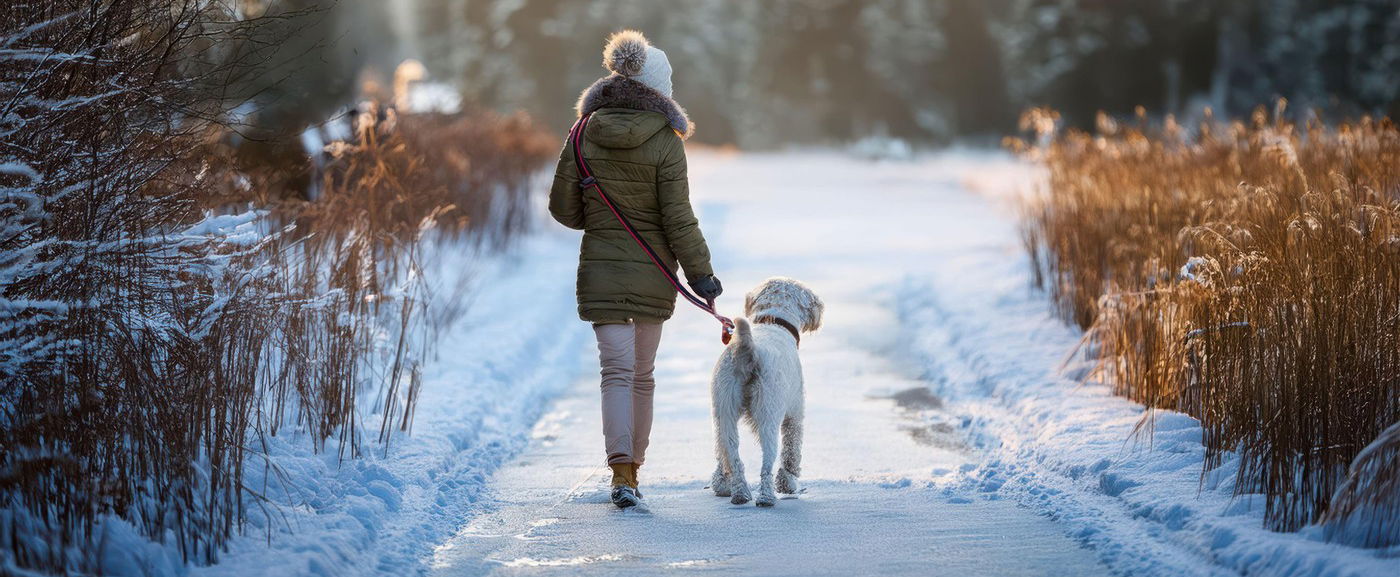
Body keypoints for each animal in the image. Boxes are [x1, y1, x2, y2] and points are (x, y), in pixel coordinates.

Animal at [711, 277, 817, 506]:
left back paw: (739, 493)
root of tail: (749, 350)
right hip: (768, 415)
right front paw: (788, 483)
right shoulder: (794, 414)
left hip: (725, 411)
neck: (773, 321)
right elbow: (791, 451)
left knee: (732, 455)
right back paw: (767, 497)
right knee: (767, 463)